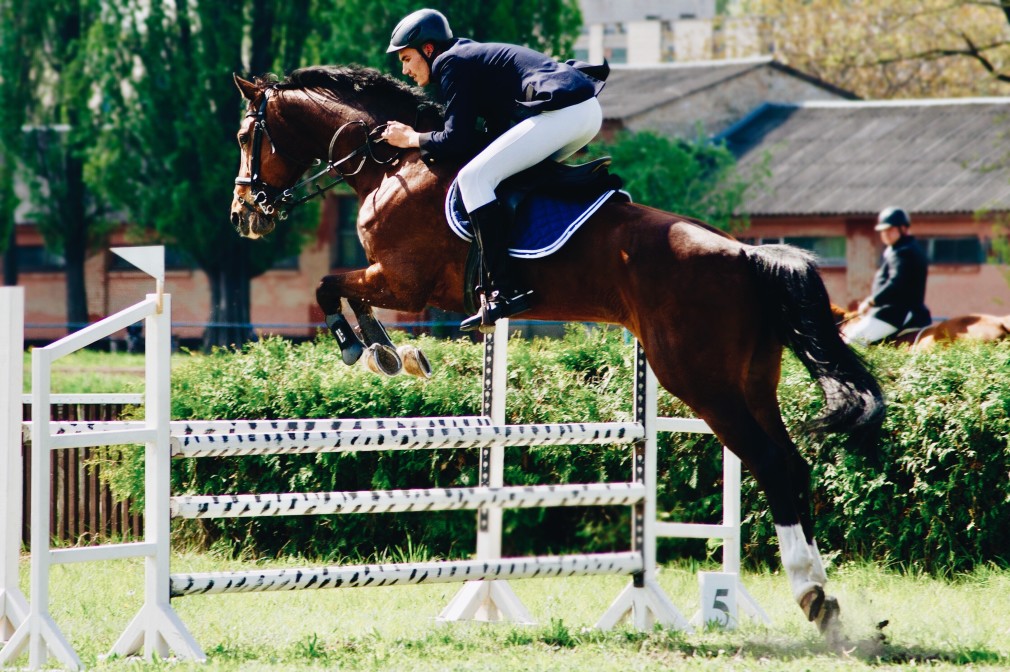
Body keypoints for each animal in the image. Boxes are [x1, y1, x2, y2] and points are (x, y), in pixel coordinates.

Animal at [231, 65, 884, 638]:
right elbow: (346, 294)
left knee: (770, 463)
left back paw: (811, 594)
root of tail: (748, 253)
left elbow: (329, 287)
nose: (244, 216)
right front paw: (391, 354)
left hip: (701, 381)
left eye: (244, 137)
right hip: (750, 379)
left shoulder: (402, 281)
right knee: (791, 464)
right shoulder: (395, 282)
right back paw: (826, 602)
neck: (394, 164)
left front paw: (365, 351)